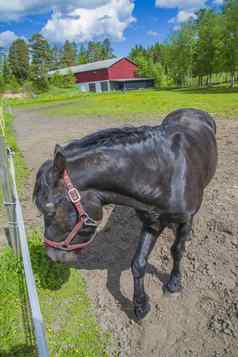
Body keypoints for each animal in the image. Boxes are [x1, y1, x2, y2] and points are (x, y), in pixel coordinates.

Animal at [33, 107, 218, 318]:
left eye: (50, 210)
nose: (52, 256)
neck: (165, 174)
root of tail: (191, 110)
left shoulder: (184, 220)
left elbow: (177, 251)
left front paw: (174, 284)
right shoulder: (152, 222)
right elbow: (138, 263)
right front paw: (141, 305)